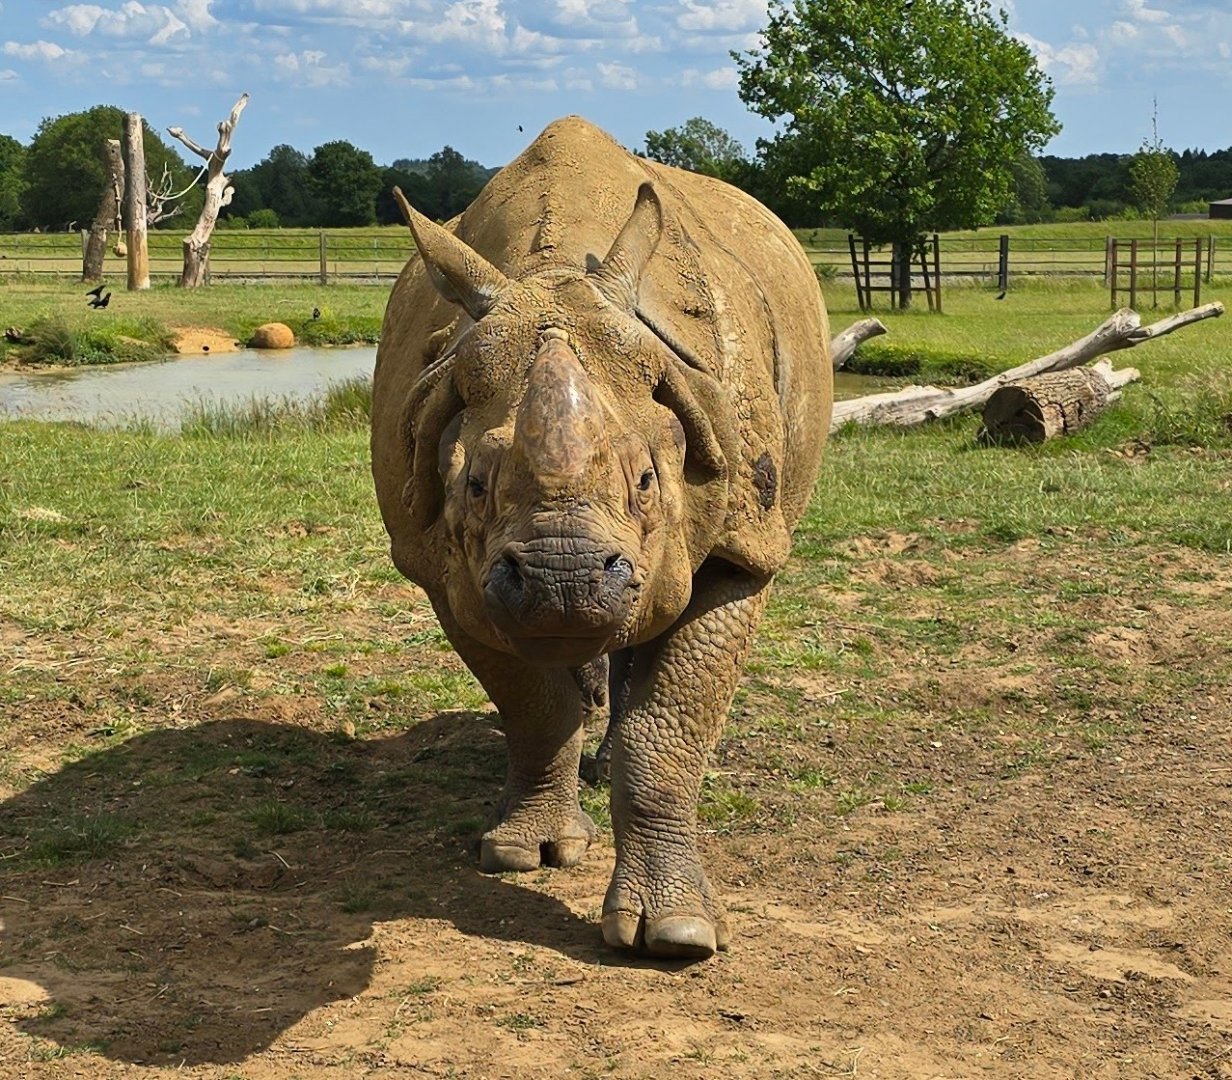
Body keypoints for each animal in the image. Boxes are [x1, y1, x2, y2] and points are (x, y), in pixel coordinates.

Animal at [371, 117, 832, 958]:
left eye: (649, 481)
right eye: (473, 486)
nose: (564, 580)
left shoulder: (745, 543)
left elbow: (668, 727)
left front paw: (677, 936)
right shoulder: (436, 565)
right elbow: (531, 704)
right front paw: (525, 853)